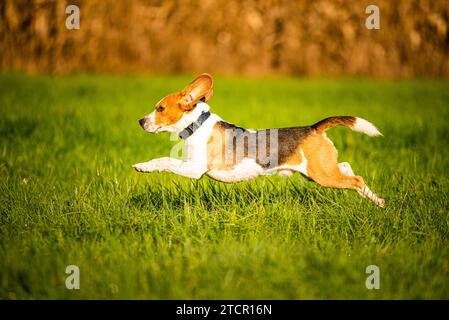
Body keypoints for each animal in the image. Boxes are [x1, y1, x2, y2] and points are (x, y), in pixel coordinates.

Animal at [134, 73, 384, 208]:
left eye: (160, 108)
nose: (140, 121)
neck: (196, 124)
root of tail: (314, 128)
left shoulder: (193, 169)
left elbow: (164, 160)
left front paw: (143, 166)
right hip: (320, 171)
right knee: (347, 167)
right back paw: (379, 201)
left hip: (321, 174)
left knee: (357, 179)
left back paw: (377, 201)